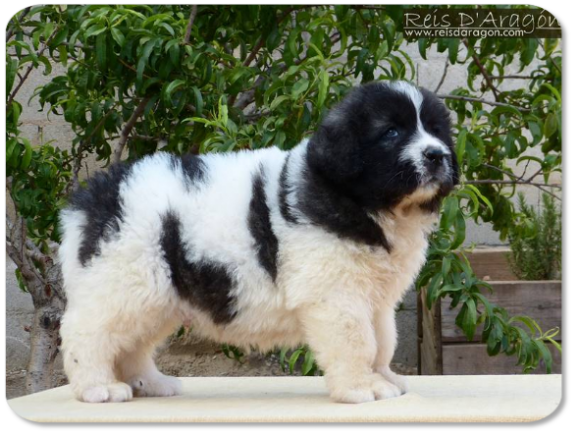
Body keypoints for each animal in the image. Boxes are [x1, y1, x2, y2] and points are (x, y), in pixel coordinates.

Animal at [57, 81, 454, 402]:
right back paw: (98, 387)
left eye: (436, 130)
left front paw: (384, 377)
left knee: (132, 345)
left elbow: (383, 340)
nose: (437, 155)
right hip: (123, 281)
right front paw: (361, 387)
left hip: (154, 297)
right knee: (88, 334)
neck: (370, 206)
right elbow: (357, 341)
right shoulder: (336, 295)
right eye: (392, 132)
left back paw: (149, 383)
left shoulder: (377, 298)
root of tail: (94, 196)